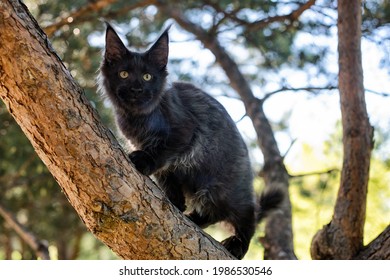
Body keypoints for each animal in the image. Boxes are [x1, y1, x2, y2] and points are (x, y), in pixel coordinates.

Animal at [99, 23, 282, 260]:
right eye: (124, 74)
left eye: (147, 76)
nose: (137, 89)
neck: (139, 118)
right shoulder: (156, 156)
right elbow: (166, 176)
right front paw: (176, 203)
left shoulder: (184, 132)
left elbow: (161, 153)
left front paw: (144, 161)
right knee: (214, 212)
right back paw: (195, 218)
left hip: (226, 188)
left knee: (246, 213)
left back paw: (238, 245)